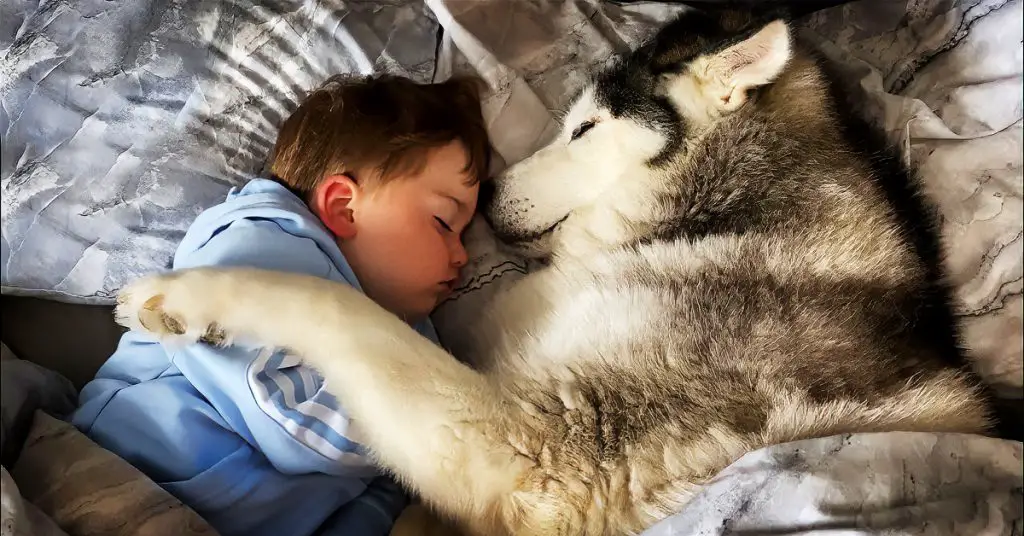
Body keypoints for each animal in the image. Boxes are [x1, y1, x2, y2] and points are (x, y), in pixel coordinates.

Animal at [114, 10, 999, 536]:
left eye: (585, 129)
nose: (483, 197)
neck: (721, 214)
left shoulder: (538, 451)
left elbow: (335, 308)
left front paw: (186, 296)